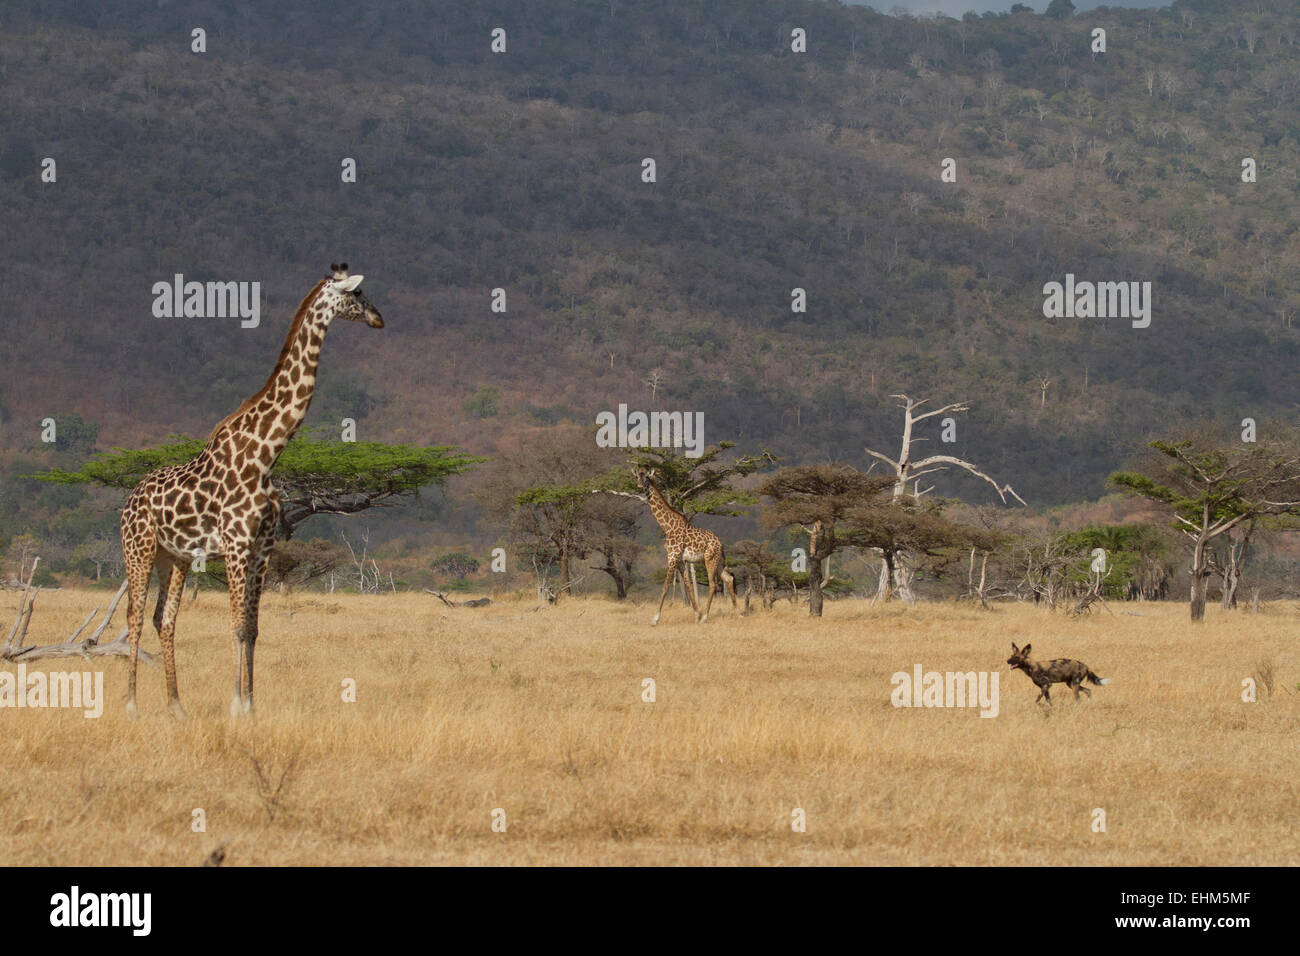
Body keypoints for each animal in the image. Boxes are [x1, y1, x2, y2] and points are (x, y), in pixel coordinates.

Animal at [119, 264, 383, 718]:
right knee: (134, 617)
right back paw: (133, 706)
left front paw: (252, 707)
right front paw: (235, 705)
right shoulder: (236, 544)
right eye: (358, 294)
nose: (378, 318)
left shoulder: (262, 546)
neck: (265, 456)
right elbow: (238, 625)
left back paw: (176, 707)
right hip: (139, 550)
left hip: (174, 557)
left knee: (163, 619)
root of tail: (128, 501)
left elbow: (255, 627)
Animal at [635, 467, 737, 625]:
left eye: (645, 477)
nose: (640, 484)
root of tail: (720, 544)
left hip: (709, 559)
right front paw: (696, 615)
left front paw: (655, 619)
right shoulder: (680, 560)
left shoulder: (672, 557)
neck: (667, 527)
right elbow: (688, 586)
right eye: (636, 477)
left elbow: (665, 586)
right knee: (728, 579)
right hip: (718, 561)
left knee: (713, 584)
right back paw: (738, 613)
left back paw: (706, 617)